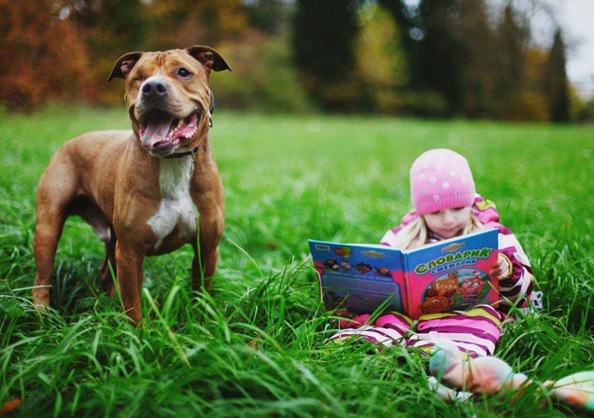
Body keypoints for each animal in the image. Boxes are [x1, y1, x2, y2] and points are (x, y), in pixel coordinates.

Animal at [31, 45, 231, 324]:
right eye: (138, 78)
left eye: (183, 72)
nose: (153, 87)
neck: (172, 162)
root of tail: (71, 142)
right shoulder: (130, 252)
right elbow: (134, 305)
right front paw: (139, 331)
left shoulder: (207, 248)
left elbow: (202, 293)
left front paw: (202, 323)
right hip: (48, 226)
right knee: (42, 274)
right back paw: (41, 312)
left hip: (111, 237)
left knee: (106, 274)